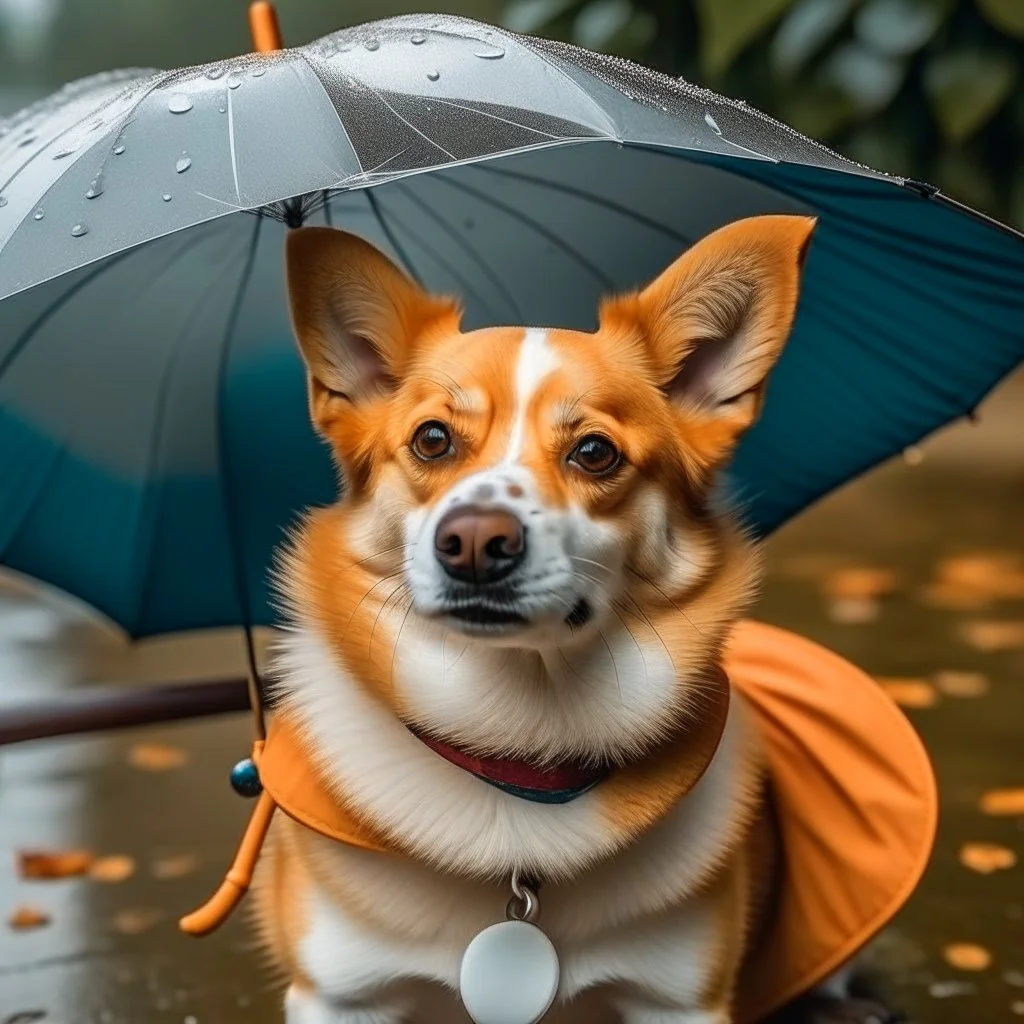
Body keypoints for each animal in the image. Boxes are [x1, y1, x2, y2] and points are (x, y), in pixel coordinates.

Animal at [245, 211, 929, 1019]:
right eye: (432, 440)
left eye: (595, 452)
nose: (474, 543)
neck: (520, 748)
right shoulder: (341, 994)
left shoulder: (678, 999)